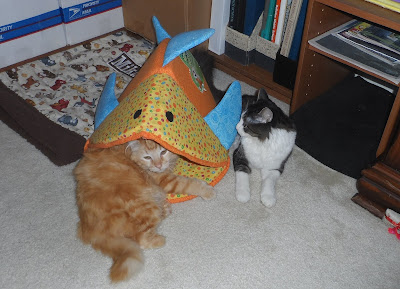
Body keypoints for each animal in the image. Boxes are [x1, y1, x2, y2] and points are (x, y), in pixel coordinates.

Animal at [73, 139, 214, 282]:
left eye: (163, 151)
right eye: (147, 157)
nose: (158, 165)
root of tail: (89, 229)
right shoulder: (165, 180)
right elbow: (188, 184)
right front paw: (208, 191)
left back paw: (165, 209)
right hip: (146, 208)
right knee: (141, 239)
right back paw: (160, 239)